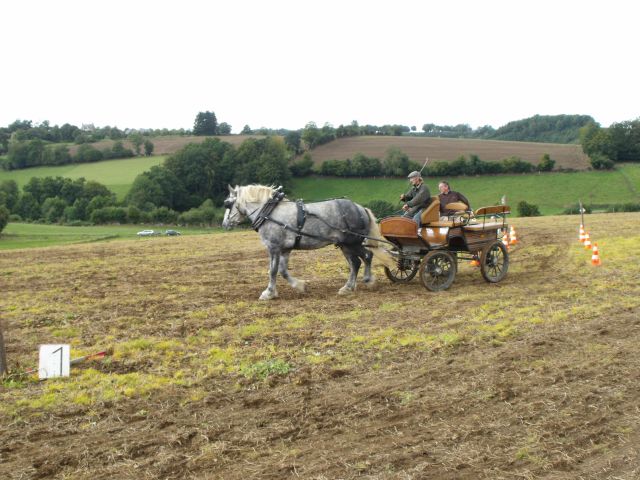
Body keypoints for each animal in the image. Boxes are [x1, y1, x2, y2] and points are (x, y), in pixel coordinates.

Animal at [224, 185, 396, 300]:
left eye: (228, 203)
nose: (224, 224)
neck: (269, 213)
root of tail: (360, 208)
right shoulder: (285, 249)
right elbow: (283, 271)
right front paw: (299, 286)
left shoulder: (273, 247)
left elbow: (272, 271)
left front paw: (269, 293)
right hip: (345, 245)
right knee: (355, 263)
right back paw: (347, 287)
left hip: (352, 242)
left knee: (366, 256)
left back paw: (368, 280)